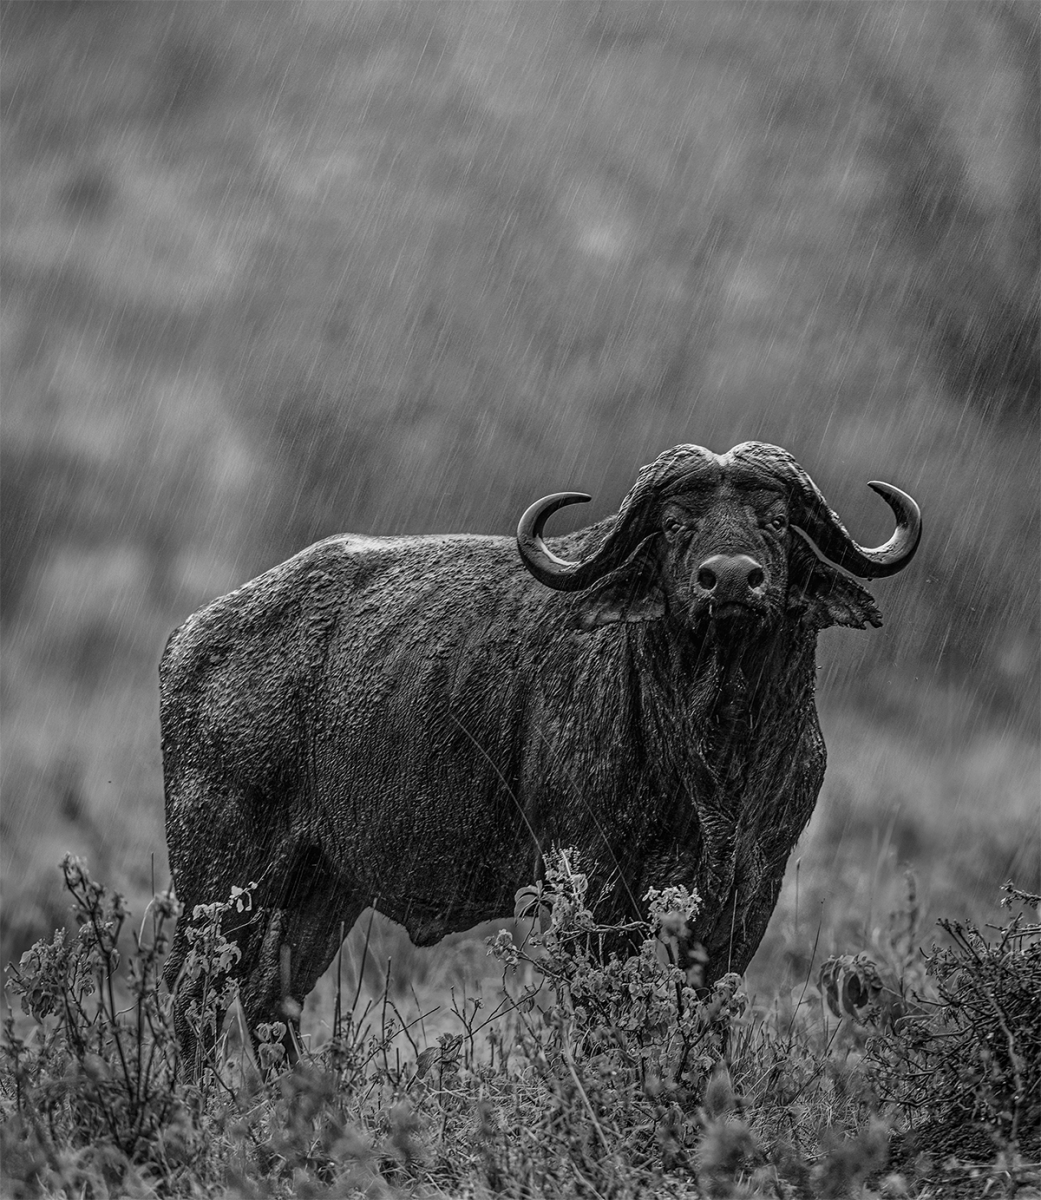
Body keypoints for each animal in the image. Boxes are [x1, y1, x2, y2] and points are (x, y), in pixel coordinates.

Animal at [160, 441, 920, 1066]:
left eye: (776, 520)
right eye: (676, 523)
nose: (730, 579)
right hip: (220, 873)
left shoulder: (751, 889)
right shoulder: (591, 886)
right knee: (192, 994)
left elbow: (707, 1017)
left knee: (271, 999)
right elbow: (604, 1018)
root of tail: (192, 635)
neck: (713, 752)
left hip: (323, 884)